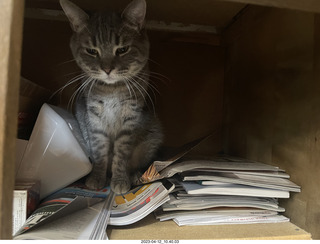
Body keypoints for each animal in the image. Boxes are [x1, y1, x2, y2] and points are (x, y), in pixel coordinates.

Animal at [60, 0, 162, 194]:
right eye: (92, 51)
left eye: (122, 49)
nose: (107, 69)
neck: (111, 90)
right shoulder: (95, 119)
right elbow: (100, 151)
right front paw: (97, 177)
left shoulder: (130, 118)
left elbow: (121, 154)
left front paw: (120, 179)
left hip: (151, 139)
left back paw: (135, 175)